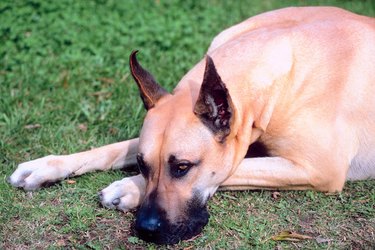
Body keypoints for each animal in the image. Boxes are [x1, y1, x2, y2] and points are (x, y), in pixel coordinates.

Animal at [8, 6, 375, 244]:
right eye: (143, 164)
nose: (146, 229)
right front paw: (47, 166)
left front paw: (128, 187)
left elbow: (234, 168)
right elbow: (111, 149)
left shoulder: (320, 169)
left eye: (182, 167)